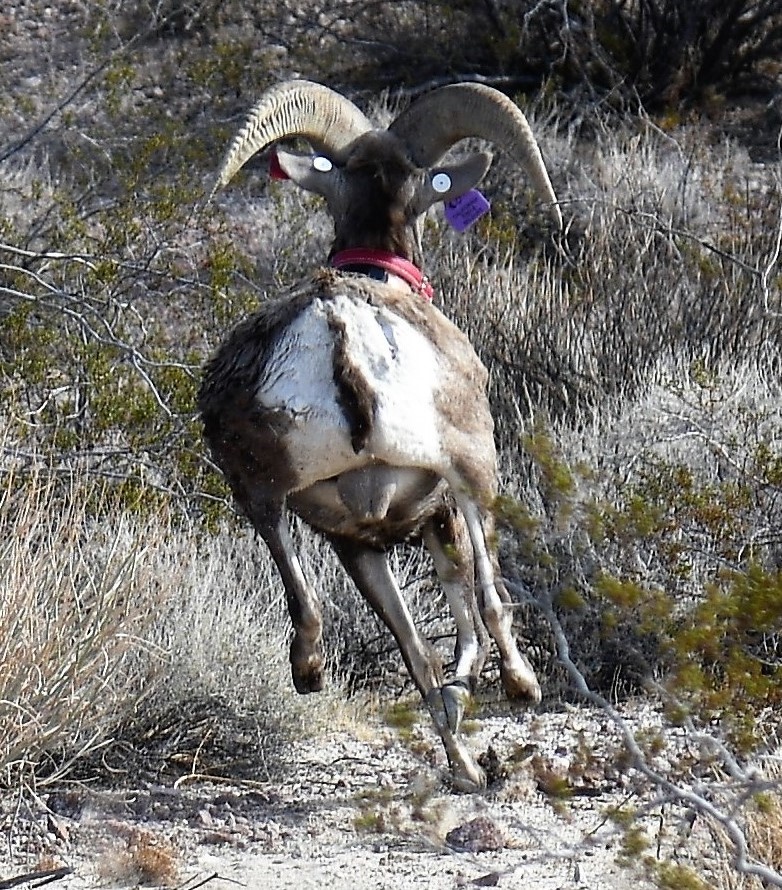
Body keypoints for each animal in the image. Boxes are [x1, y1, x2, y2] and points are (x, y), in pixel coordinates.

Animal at [199, 80, 560, 788]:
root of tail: (340, 321)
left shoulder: (365, 542)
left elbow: (423, 653)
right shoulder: (437, 512)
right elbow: (466, 609)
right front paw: (476, 691)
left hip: (279, 495)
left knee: (306, 579)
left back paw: (314, 674)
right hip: (469, 465)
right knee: (489, 592)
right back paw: (521, 685)